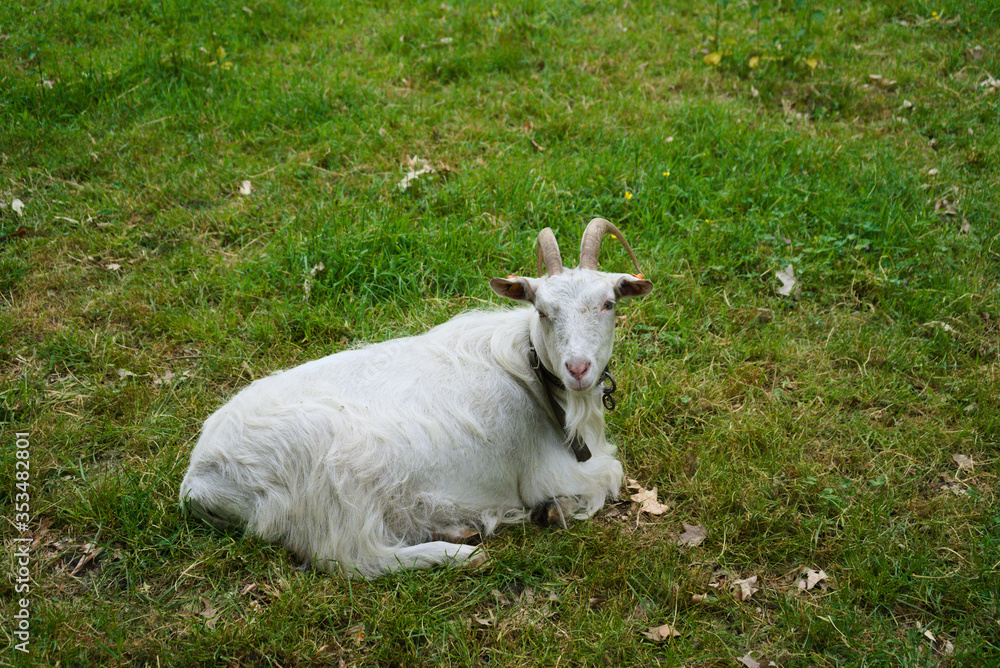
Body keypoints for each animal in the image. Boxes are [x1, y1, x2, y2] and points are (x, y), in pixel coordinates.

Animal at [179, 218, 653, 577]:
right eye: (541, 310)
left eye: (609, 303)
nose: (578, 369)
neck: (531, 372)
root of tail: (201, 477)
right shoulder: (548, 472)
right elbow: (611, 474)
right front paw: (553, 511)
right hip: (333, 481)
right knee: (352, 558)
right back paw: (458, 553)